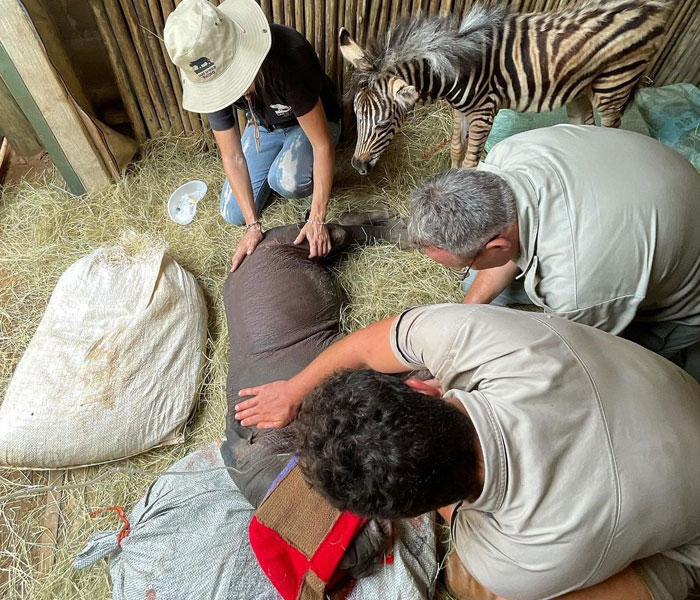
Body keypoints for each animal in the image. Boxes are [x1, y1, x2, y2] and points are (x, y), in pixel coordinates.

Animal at [340, 0, 672, 173]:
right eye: (356, 116)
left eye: (383, 123)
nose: (357, 166)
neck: (454, 68)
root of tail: (651, 6)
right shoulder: (461, 111)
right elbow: (457, 147)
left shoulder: (484, 112)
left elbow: (471, 160)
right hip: (580, 87)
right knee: (585, 123)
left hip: (615, 82)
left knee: (611, 126)